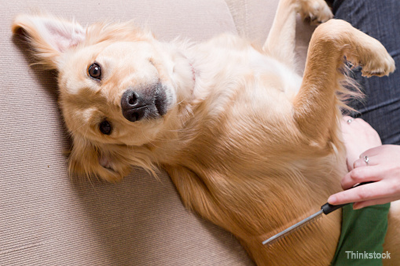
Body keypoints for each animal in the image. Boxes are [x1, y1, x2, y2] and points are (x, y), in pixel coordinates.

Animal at [11, 0, 400, 264]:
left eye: (95, 70)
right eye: (104, 127)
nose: (130, 105)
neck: (196, 93)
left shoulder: (279, 62)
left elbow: (302, 18)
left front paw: (316, 7)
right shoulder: (304, 129)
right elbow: (326, 36)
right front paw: (376, 55)